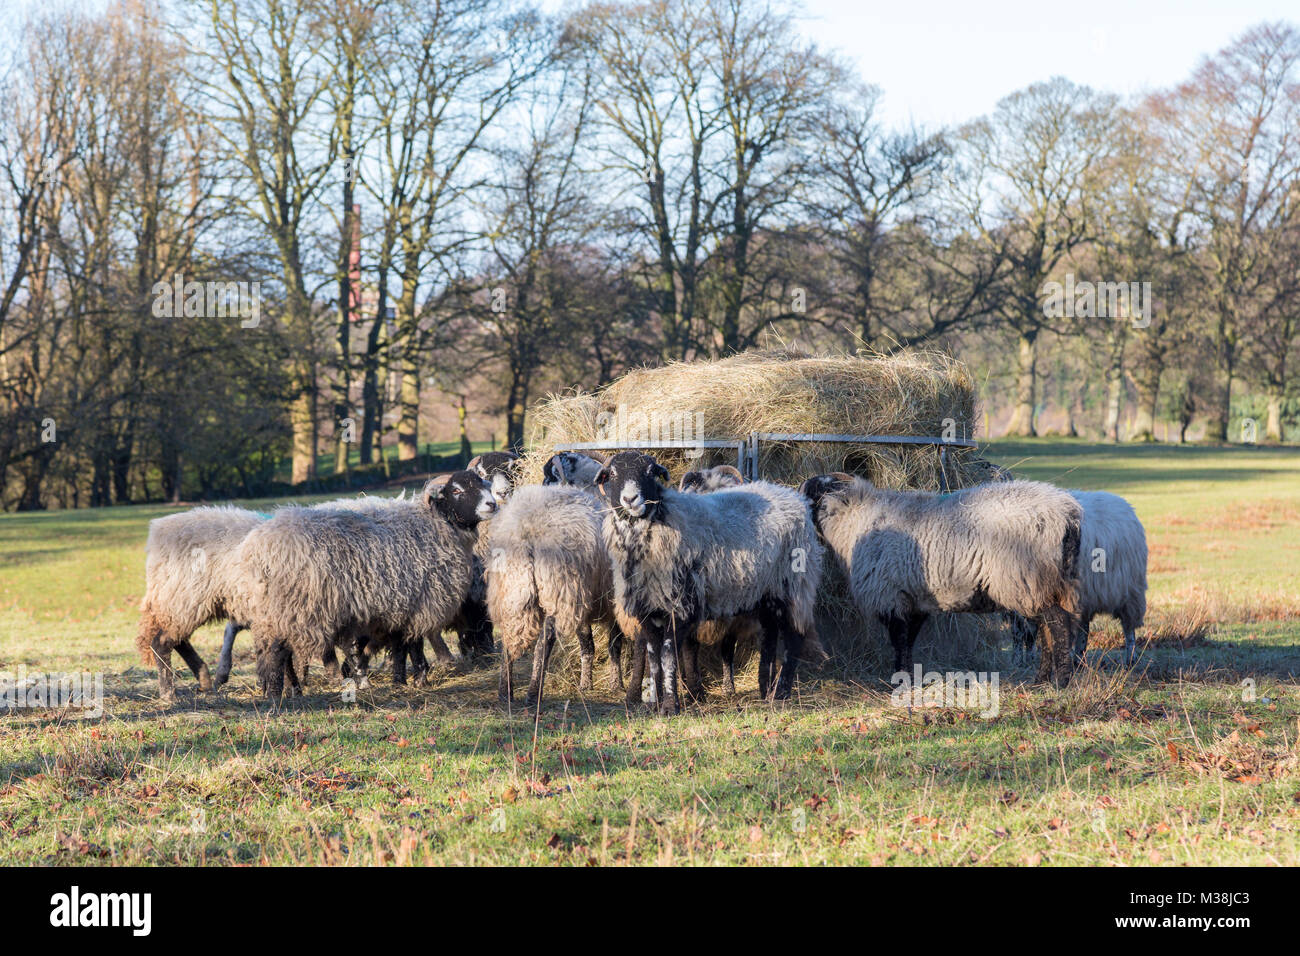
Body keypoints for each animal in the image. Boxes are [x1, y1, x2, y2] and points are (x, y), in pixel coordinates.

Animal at [228, 472, 496, 699]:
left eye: (483, 484)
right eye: (457, 490)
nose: (492, 505)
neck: (435, 525)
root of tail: (257, 546)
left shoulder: (400, 607)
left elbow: (401, 646)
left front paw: (400, 680)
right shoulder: (420, 603)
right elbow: (415, 644)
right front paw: (420, 678)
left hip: (280, 611)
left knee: (281, 652)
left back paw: (292, 689)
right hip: (293, 607)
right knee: (278, 652)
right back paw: (279, 693)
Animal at [598, 451, 823, 714]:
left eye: (650, 472)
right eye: (612, 473)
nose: (630, 499)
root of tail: (793, 497)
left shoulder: (680, 605)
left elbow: (668, 656)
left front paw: (670, 706)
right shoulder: (647, 608)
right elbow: (653, 658)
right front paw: (655, 704)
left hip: (793, 584)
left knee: (793, 636)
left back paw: (782, 693)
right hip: (767, 591)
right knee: (769, 635)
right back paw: (765, 690)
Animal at [799, 473, 1082, 686]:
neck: (854, 519)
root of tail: (1068, 515)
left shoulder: (891, 596)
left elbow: (899, 642)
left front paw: (898, 680)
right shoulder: (913, 600)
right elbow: (908, 642)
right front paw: (909, 678)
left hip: (1027, 579)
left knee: (1057, 625)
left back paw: (1061, 682)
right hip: (1042, 585)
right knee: (1047, 629)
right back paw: (1041, 680)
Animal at [1010, 490, 1147, 667]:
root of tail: (1123, 503)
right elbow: (1020, 632)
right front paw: (1020, 660)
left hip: (1129, 591)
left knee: (1128, 626)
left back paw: (1130, 658)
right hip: (1087, 595)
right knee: (1082, 628)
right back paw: (1078, 659)